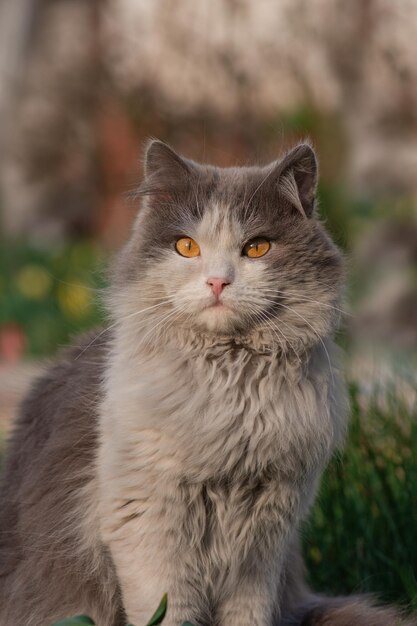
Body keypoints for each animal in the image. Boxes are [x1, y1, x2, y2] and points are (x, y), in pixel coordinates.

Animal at [0, 141, 412, 624]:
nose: (218, 282)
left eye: (257, 247)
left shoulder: (265, 539)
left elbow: (247, 613)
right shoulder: (147, 525)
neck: (230, 393)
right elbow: (168, 608)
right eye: (186, 246)